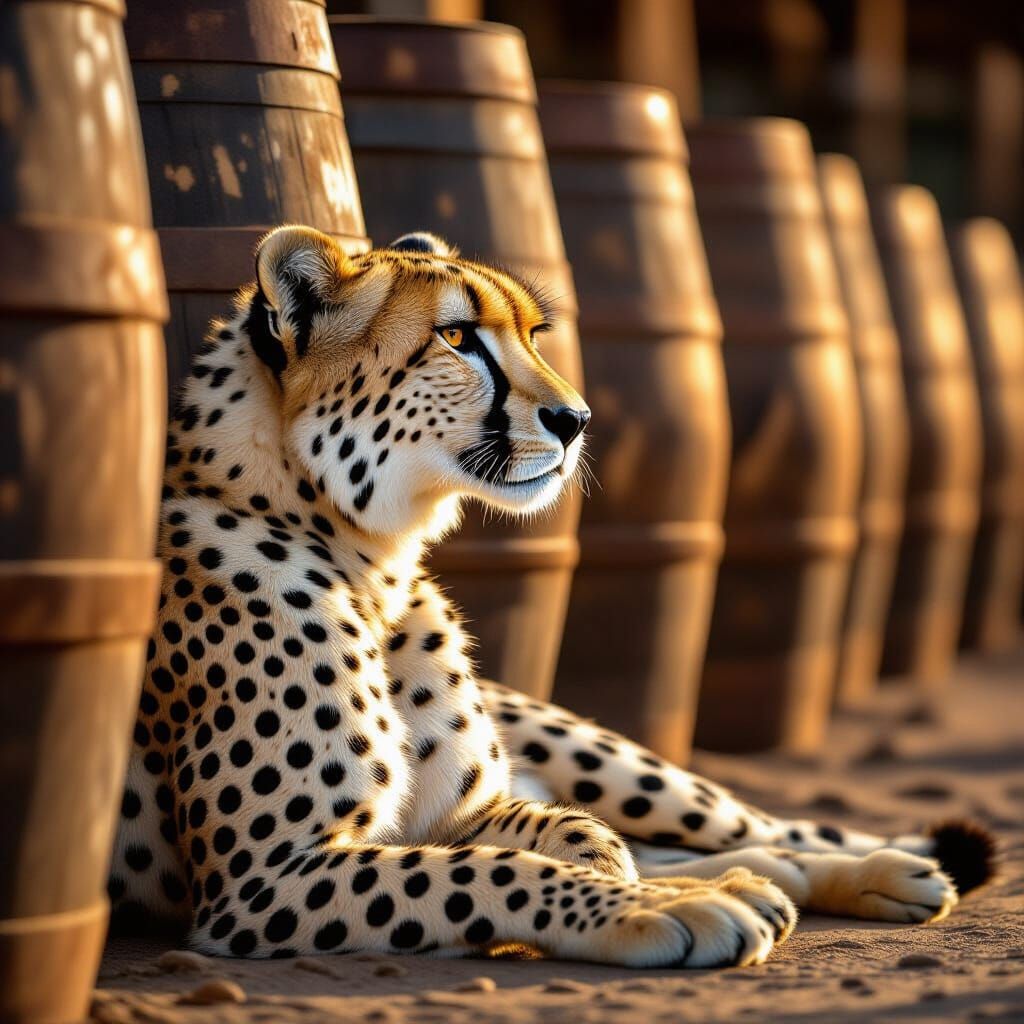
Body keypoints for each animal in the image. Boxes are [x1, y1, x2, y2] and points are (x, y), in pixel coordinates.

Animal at [109, 225, 994, 968]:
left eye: (533, 335)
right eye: (457, 337)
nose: (577, 418)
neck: (374, 564)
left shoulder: (450, 817)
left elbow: (559, 833)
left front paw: (626, 881)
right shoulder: (262, 882)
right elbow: (484, 871)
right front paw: (657, 909)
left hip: (610, 760)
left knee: (746, 829)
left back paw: (877, 865)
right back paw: (762, 884)